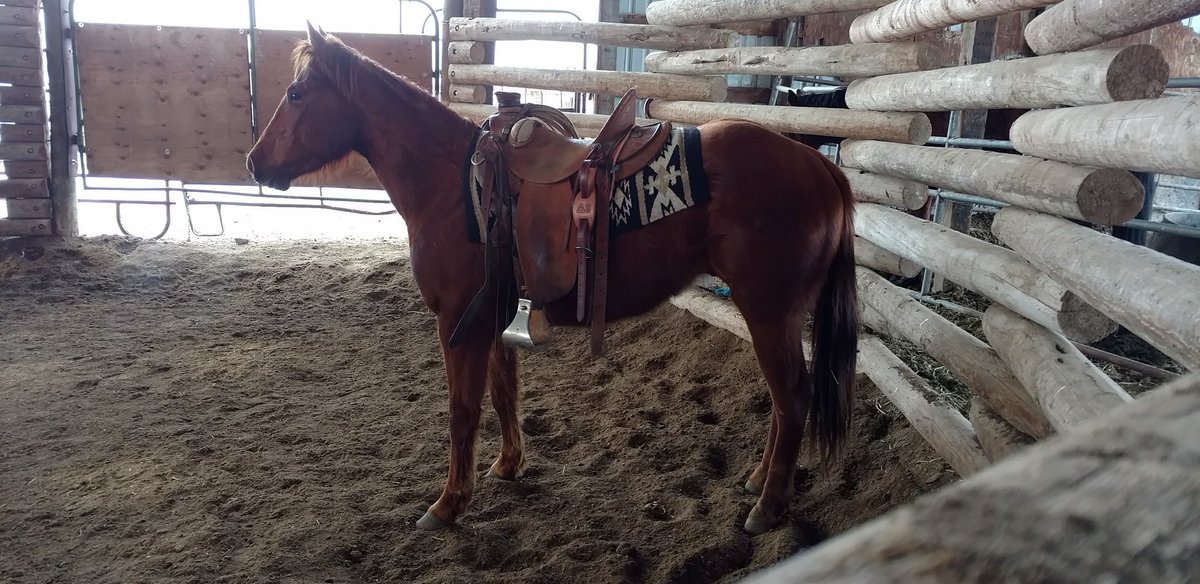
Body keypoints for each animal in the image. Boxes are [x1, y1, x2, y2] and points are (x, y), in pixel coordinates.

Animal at [245, 23, 858, 535]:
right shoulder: (492, 317)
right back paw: (758, 482)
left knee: (792, 397)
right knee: (783, 401)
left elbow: (461, 411)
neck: (450, 185)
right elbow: (503, 393)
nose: (254, 162)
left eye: (296, 94)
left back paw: (768, 506)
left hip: (769, 311)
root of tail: (821, 166)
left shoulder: (457, 323)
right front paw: (507, 465)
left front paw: (447, 504)